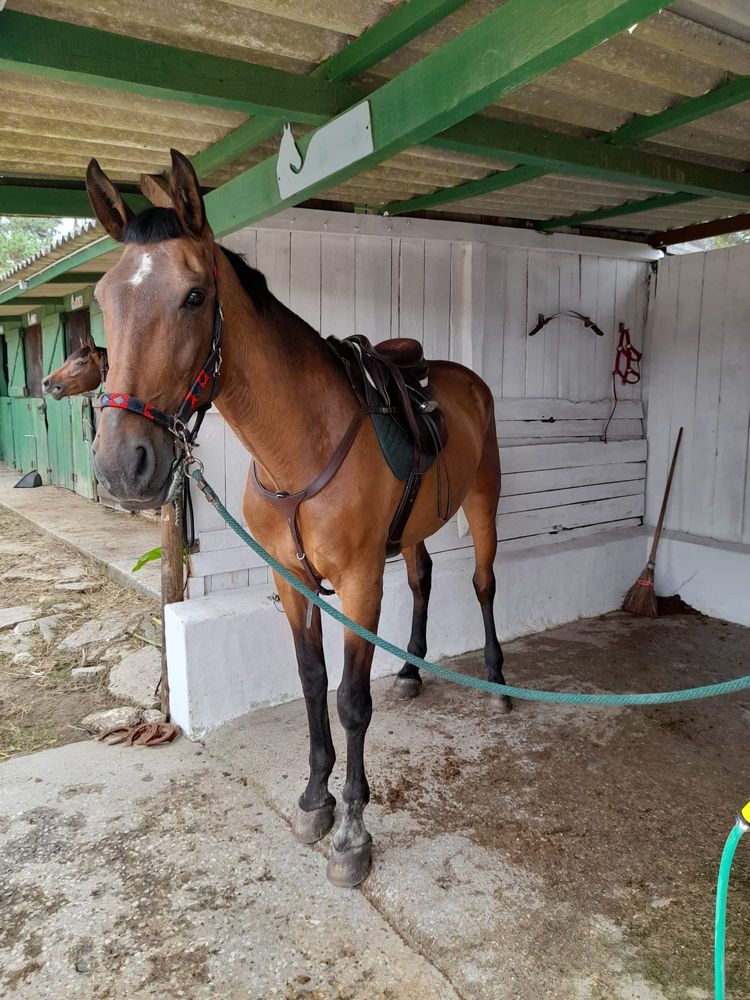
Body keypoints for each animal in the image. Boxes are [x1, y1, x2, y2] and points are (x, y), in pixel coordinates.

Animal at [86, 146, 512, 884]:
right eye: (105, 298)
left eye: (194, 295)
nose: (122, 465)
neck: (300, 444)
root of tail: (467, 379)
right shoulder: (292, 579)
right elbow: (312, 683)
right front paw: (316, 796)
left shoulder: (361, 582)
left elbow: (350, 699)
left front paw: (353, 832)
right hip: (416, 529)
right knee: (425, 577)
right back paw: (412, 670)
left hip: (482, 502)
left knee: (484, 583)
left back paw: (494, 676)